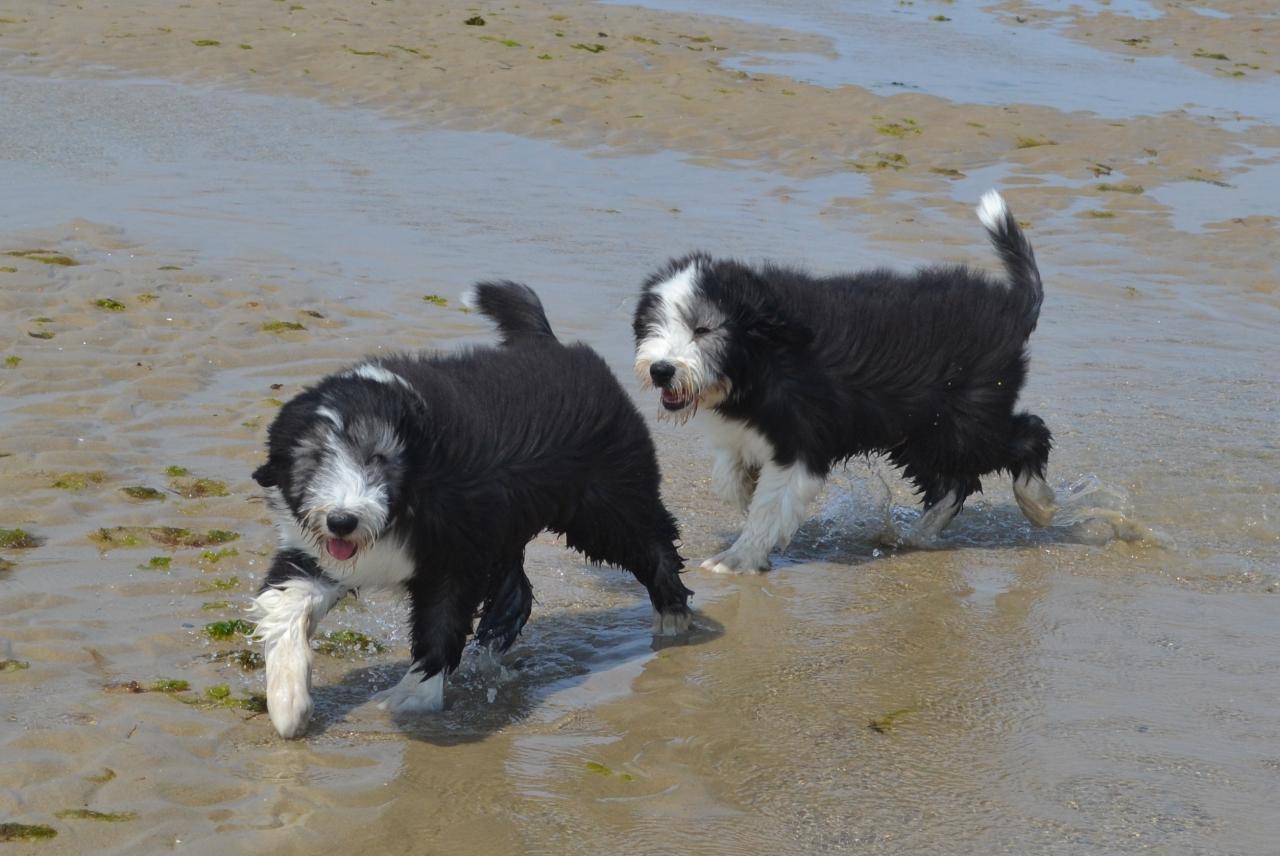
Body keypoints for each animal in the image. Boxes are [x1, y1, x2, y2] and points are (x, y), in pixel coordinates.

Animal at [249, 280, 691, 737]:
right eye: (314, 460)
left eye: (378, 459)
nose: (341, 521)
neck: (411, 489)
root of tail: (550, 343)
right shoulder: (317, 554)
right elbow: (284, 604)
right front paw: (288, 701)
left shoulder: (455, 557)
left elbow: (440, 624)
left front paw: (413, 696)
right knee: (518, 589)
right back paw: (499, 632)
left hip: (606, 502)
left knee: (653, 543)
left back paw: (673, 617)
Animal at [632, 190, 1059, 570]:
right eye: (653, 325)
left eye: (702, 329)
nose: (661, 370)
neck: (760, 357)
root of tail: (1013, 307)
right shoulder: (743, 432)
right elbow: (730, 477)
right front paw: (745, 496)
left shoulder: (801, 441)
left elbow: (770, 504)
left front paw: (739, 558)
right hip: (920, 430)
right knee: (954, 483)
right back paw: (917, 534)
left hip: (962, 423)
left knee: (1026, 435)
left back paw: (1037, 503)